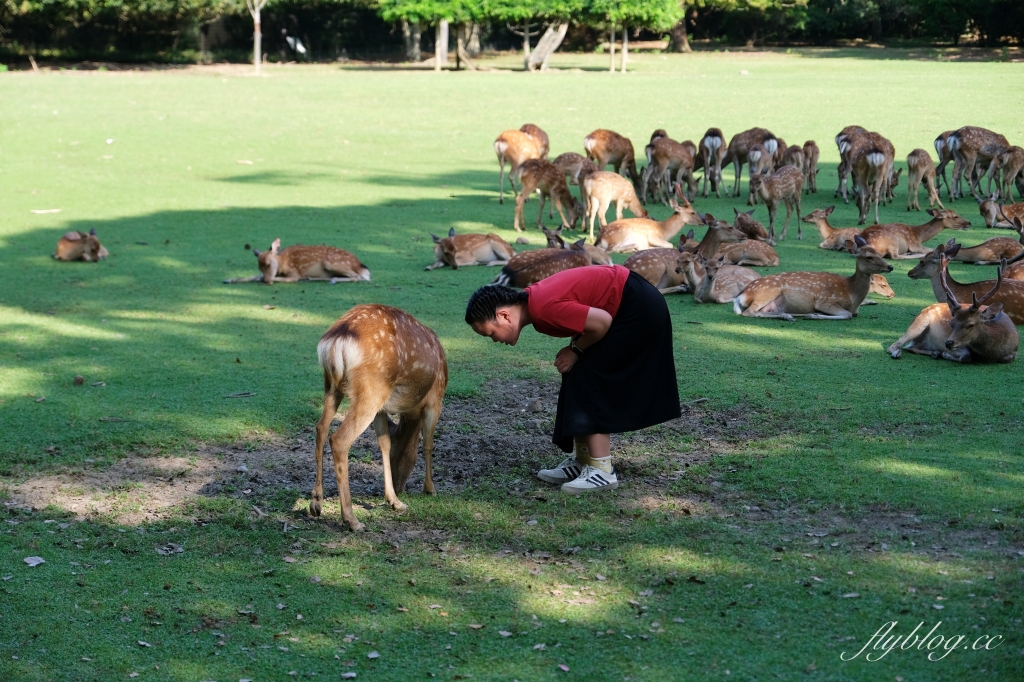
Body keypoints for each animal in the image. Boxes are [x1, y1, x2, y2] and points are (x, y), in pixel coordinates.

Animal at [224, 237, 372, 282]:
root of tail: (359, 264)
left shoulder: (295, 273)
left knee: (358, 277)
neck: (283, 263)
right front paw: (229, 279)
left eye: (269, 264)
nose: (266, 280)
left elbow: (284, 279)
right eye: (259, 267)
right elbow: (253, 276)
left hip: (332, 263)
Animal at [307, 303, 444, 532]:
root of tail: (335, 343)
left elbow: (384, 443)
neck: (413, 412)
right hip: (371, 389)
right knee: (339, 439)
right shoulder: (436, 398)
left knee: (320, 428)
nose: (399, 487)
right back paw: (352, 520)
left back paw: (316, 503)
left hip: (332, 387)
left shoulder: (382, 410)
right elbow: (428, 445)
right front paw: (430, 488)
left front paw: (394, 501)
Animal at [733, 233, 892, 319]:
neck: (852, 295)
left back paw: (789, 315)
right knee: (749, 312)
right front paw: (813, 315)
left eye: (879, 253)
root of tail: (743, 294)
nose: (890, 266)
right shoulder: (825, 300)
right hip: (767, 291)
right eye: (869, 257)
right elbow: (847, 314)